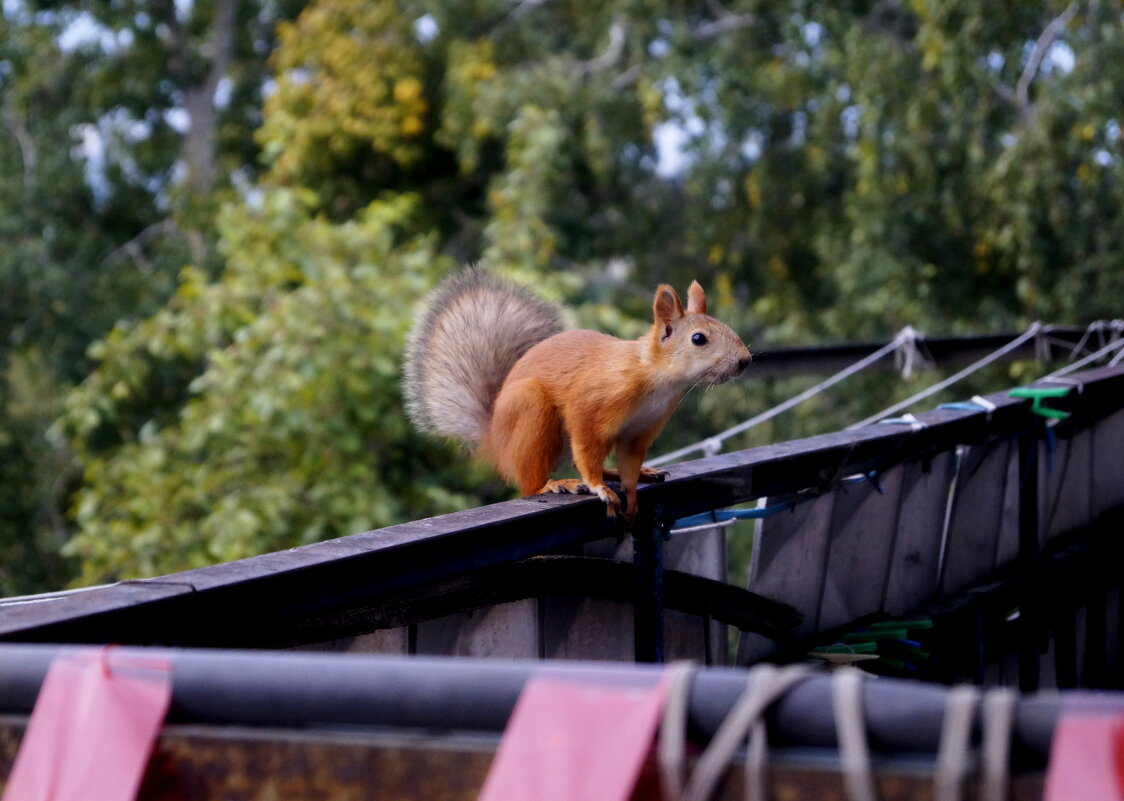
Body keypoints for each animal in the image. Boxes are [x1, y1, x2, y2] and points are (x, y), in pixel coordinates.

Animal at [400, 265, 750, 521]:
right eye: (698, 339)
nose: (745, 361)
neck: (656, 380)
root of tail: (494, 441)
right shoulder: (591, 404)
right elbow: (586, 443)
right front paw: (599, 488)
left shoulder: (638, 430)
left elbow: (629, 460)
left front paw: (630, 491)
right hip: (532, 412)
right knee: (531, 484)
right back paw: (557, 483)